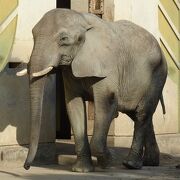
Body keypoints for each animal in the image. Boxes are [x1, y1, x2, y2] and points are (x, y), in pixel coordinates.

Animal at [16, 8, 167, 173]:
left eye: (63, 39)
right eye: (33, 35)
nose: (26, 167)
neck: (82, 19)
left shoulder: (107, 66)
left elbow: (106, 103)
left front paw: (108, 162)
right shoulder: (70, 70)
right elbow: (74, 106)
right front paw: (82, 170)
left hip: (157, 74)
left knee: (142, 113)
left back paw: (131, 164)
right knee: (139, 114)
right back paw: (150, 162)